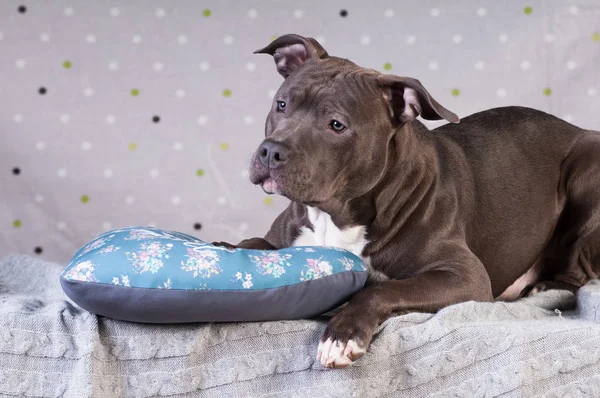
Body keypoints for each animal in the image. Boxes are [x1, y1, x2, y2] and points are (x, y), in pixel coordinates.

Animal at [213, 32, 600, 368]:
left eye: (337, 124)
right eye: (282, 105)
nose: (271, 151)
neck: (336, 216)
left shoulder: (465, 276)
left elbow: (384, 289)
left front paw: (343, 333)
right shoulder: (285, 239)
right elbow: (252, 243)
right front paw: (225, 250)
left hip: (585, 179)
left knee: (578, 276)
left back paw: (542, 286)